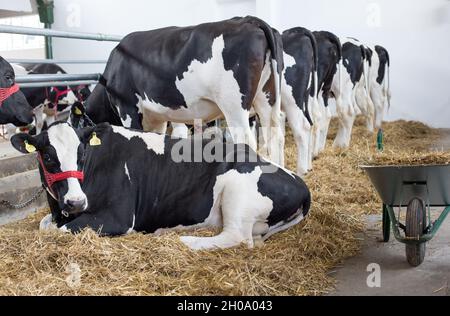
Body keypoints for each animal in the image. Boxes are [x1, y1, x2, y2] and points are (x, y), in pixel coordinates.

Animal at [84, 16, 284, 165]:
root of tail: (249, 20)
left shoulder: (128, 109)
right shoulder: (157, 118)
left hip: (234, 106)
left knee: (247, 142)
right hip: (266, 100)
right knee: (274, 139)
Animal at [280, 27, 318, 175]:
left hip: (291, 102)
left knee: (301, 130)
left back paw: (301, 171)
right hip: (304, 99)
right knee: (310, 123)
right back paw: (308, 165)